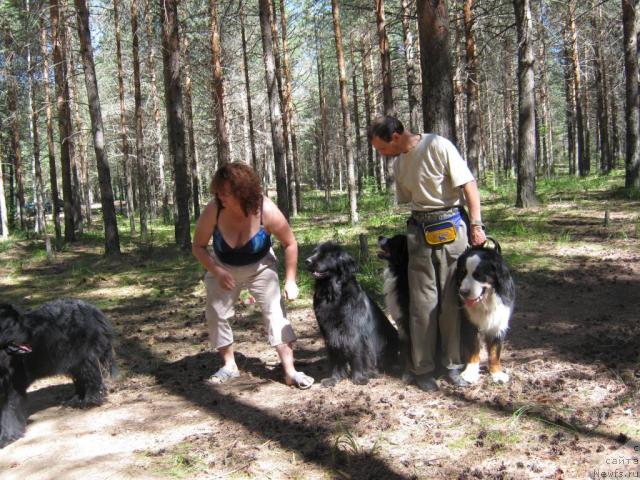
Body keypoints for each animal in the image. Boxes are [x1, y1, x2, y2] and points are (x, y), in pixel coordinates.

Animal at [0, 298, 116, 448]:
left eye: (19, 321)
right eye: (12, 323)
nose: (32, 333)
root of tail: (93, 309)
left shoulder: (14, 383)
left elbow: (9, 410)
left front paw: (7, 437)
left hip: (84, 356)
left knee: (92, 378)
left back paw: (90, 400)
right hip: (72, 360)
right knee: (81, 379)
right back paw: (76, 399)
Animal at [304, 242, 398, 388]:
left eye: (326, 255)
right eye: (314, 252)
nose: (307, 261)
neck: (332, 294)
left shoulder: (354, 333)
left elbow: (356, 354)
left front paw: (358, 378)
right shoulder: (330, 334)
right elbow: (335, 356)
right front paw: (334, 378)